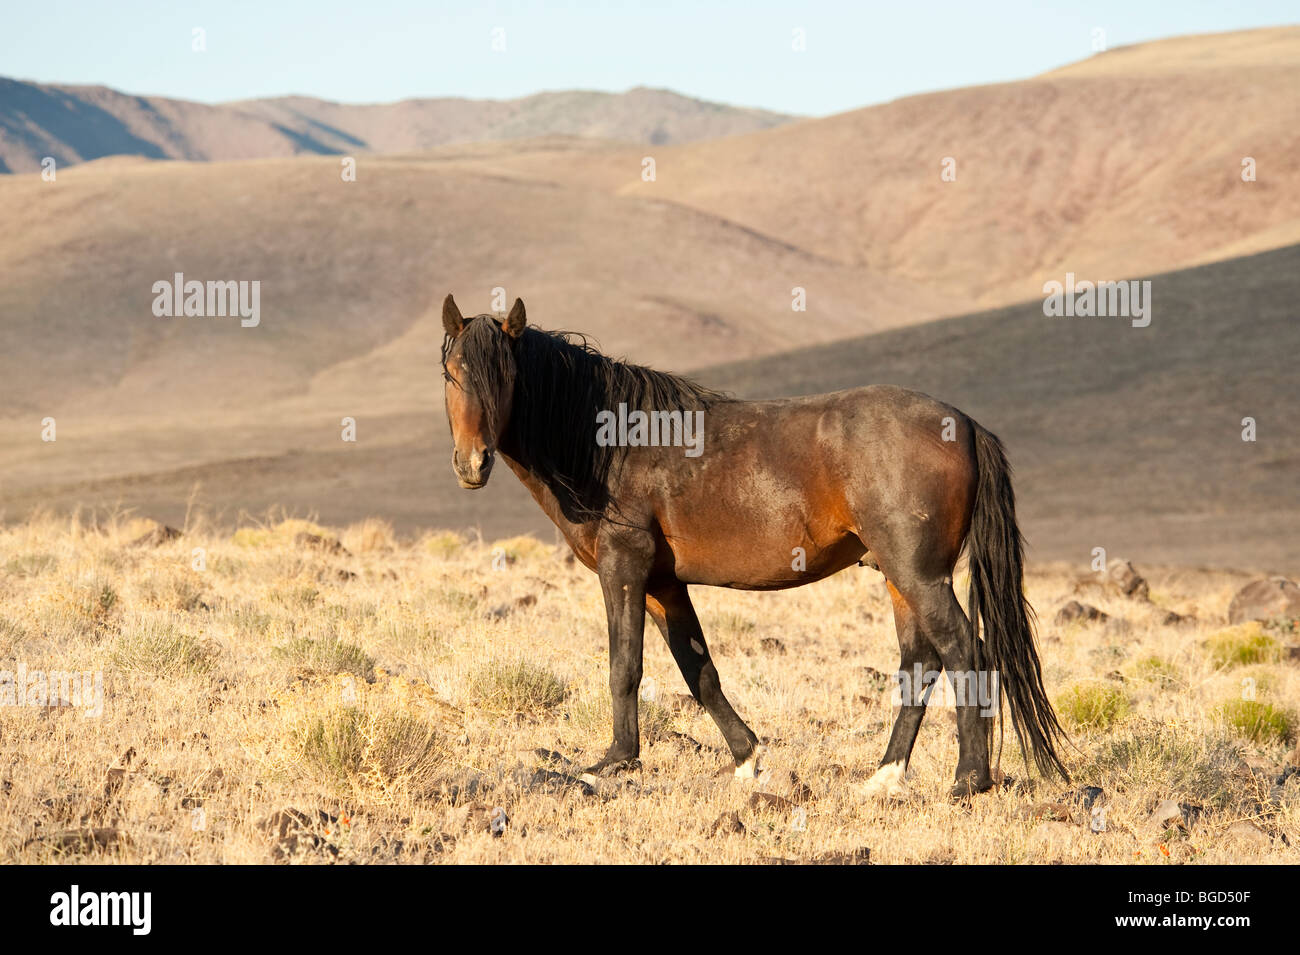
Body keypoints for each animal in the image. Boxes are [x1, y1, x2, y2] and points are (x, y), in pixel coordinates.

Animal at [439, 293, 1069, 798]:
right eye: (450, 373)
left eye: (505, 376)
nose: (472, 464)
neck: (613, 445)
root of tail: (963, 424)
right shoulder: (663, 583)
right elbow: (698, 669)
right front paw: (747, 759)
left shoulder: (624, 569)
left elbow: (625, 666)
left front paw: (614, 763)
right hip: (898, 576)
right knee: (921, 661)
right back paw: (884, 778)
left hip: (918, 574)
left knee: (964, 649)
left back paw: (968, 779)